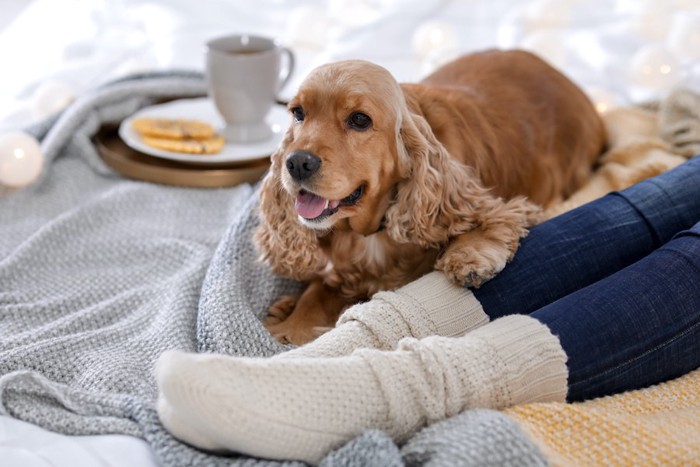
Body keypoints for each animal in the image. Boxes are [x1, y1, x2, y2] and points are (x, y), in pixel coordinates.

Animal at [254, 50, 604, 344]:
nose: (297, 162)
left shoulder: (507, 203)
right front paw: (291, 322)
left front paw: (468, 255)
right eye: (298, 113)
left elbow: (493, 219)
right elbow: (315, 294)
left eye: (359, 119)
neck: (372, 231)